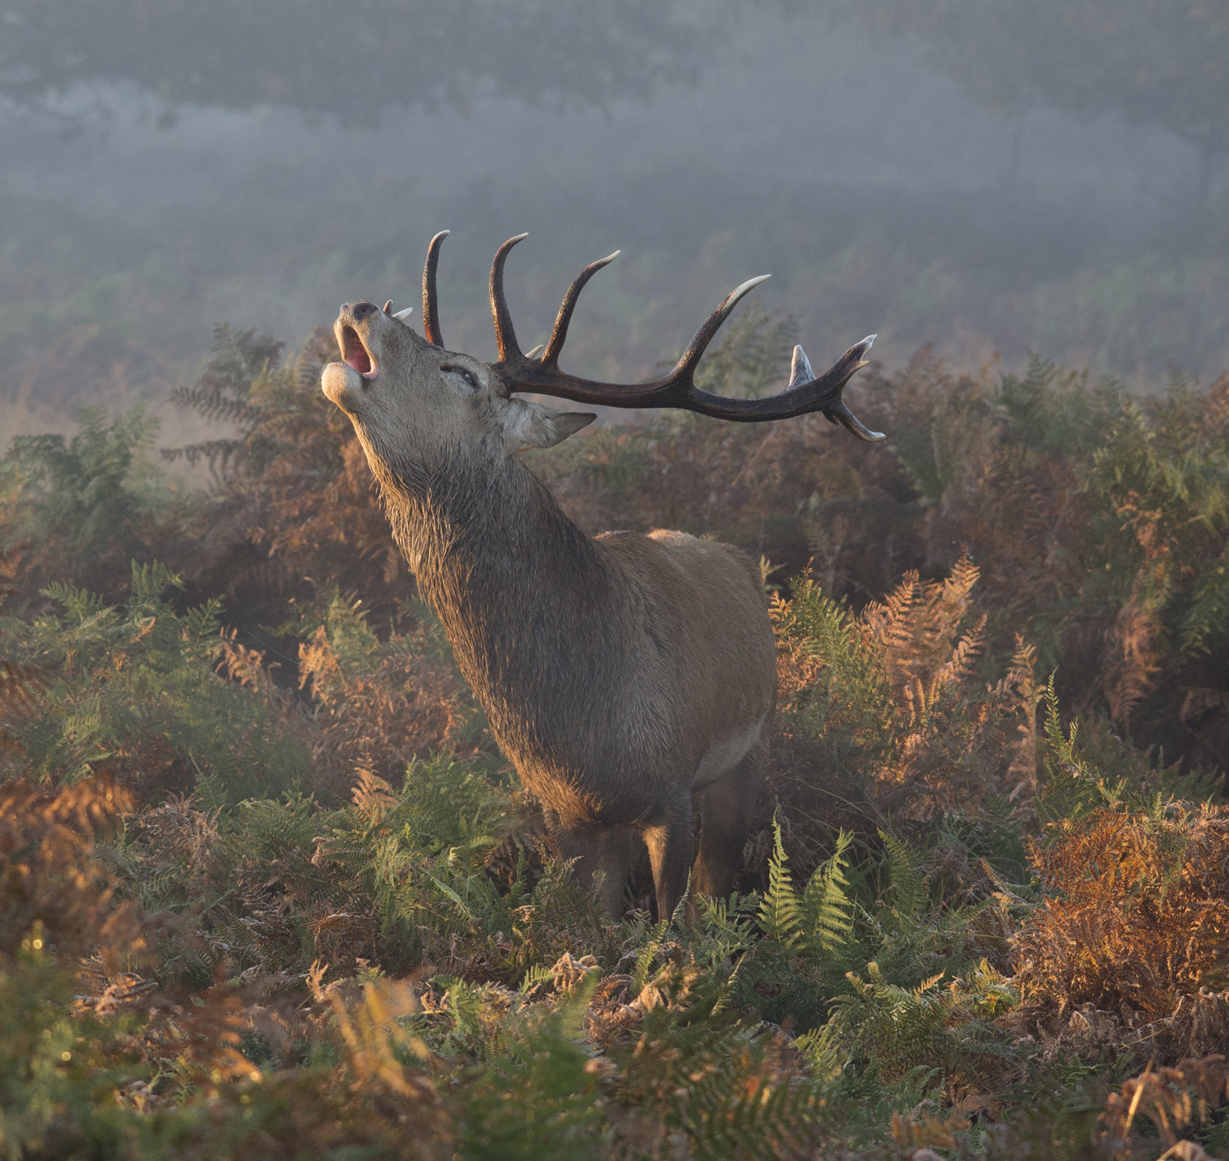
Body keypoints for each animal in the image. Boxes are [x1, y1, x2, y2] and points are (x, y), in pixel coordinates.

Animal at [320, 231, 884, 919]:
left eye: (462, 372)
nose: (359, 306)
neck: (582, 723)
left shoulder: (672, 790)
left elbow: (672, 923)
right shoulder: (564, 814)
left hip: (750, 747)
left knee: (718, 876)